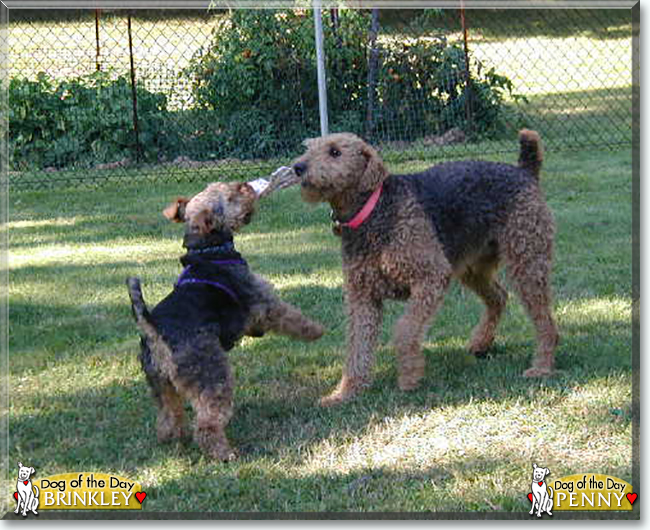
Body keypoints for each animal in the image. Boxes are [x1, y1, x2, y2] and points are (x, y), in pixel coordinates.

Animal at [125, 178, 322, 458]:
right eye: (229, 196)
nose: (245, 185)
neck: (209, 249)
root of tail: (153, 329)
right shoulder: (263, 301)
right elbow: (292, 317)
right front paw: (317, 330)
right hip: (212, 376)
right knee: (207, 422)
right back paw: (224, 453)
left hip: (160, 384)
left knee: (168, 417)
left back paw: (174, 439)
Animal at [294, 130, 556, 402]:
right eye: (309, 148)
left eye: (335, 151)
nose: (298, 168)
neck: (373, 211)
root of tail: (524, 171)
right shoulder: (363, 297)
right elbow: (358, 347)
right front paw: (346, 392)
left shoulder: (431, 277)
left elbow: (404, 330)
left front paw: (409, 377)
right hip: (473, 269)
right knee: (499, 297)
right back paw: (481, 344)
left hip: (526, 262)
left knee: (546, 323)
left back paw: (541, 367)